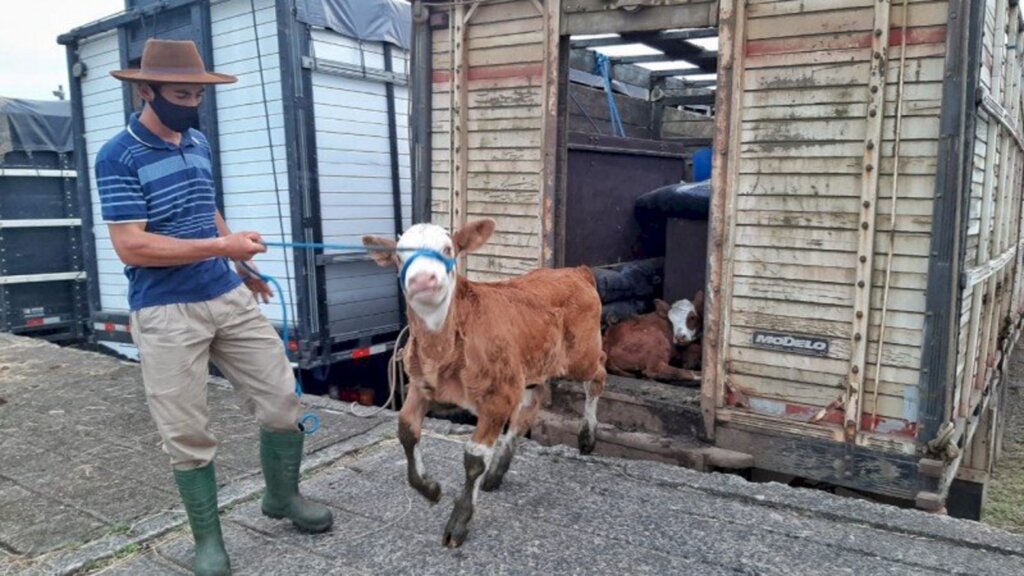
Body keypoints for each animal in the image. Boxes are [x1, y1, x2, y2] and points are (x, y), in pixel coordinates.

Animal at [362, 217, 606, 545]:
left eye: (447, 249)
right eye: (400, 256)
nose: (423, 279)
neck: (443, 348)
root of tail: (576, 271)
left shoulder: (498, 396)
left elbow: (474, 457)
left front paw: (459, 521)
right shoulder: (420, 386)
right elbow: (406, 431)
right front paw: (429, 488)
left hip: (581, 354)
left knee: (598, 373)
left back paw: (587, 437)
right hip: (529, 365)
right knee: (530, 405)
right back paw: (497, 472)